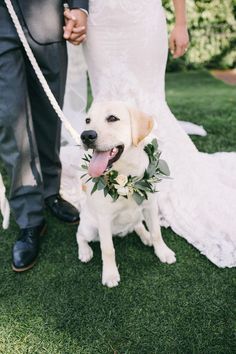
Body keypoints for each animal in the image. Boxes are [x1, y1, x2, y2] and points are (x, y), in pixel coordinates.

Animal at [77, 101, 175, 288]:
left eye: (112, 118)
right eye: (87, 120)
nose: (86, 135)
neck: (126, 177)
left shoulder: (150, 206)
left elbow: (157, 232)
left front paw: (163, 252)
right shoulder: (104, 219)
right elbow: (107, 249)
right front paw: (110, 274)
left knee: (137, 225)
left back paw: (146, 236)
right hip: (90, 228)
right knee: (79, 235)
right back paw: (84, 251)